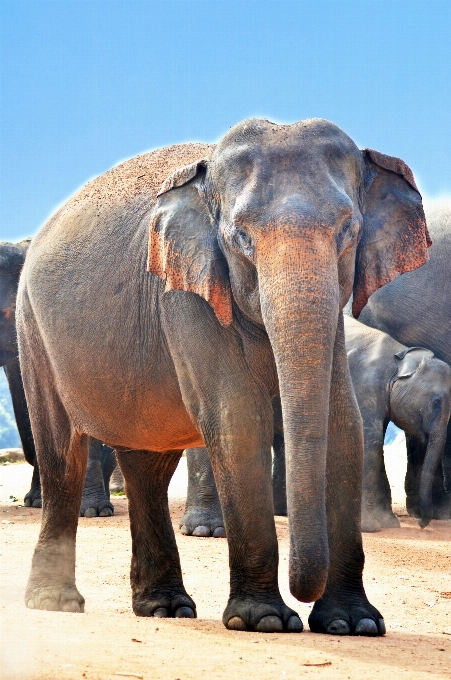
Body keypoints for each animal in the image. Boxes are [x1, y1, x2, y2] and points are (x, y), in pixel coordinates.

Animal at [15, 119, 430, 636]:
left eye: (348, 231)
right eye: (242, 238)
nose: (303, 595)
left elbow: (344, 427)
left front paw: (353, 624)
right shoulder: (183, 293)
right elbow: (238, 422)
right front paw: (266, 621)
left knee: (148, 465)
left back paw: (165, 608)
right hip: (33, 331)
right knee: (62, 456)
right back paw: (56, 601)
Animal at [346, 314, 451, 532]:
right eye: (436, 402)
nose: (421, 524)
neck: (398, 354)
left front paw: (389, 523)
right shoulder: (366, 385)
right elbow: (370, 439)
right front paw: (370, 528)